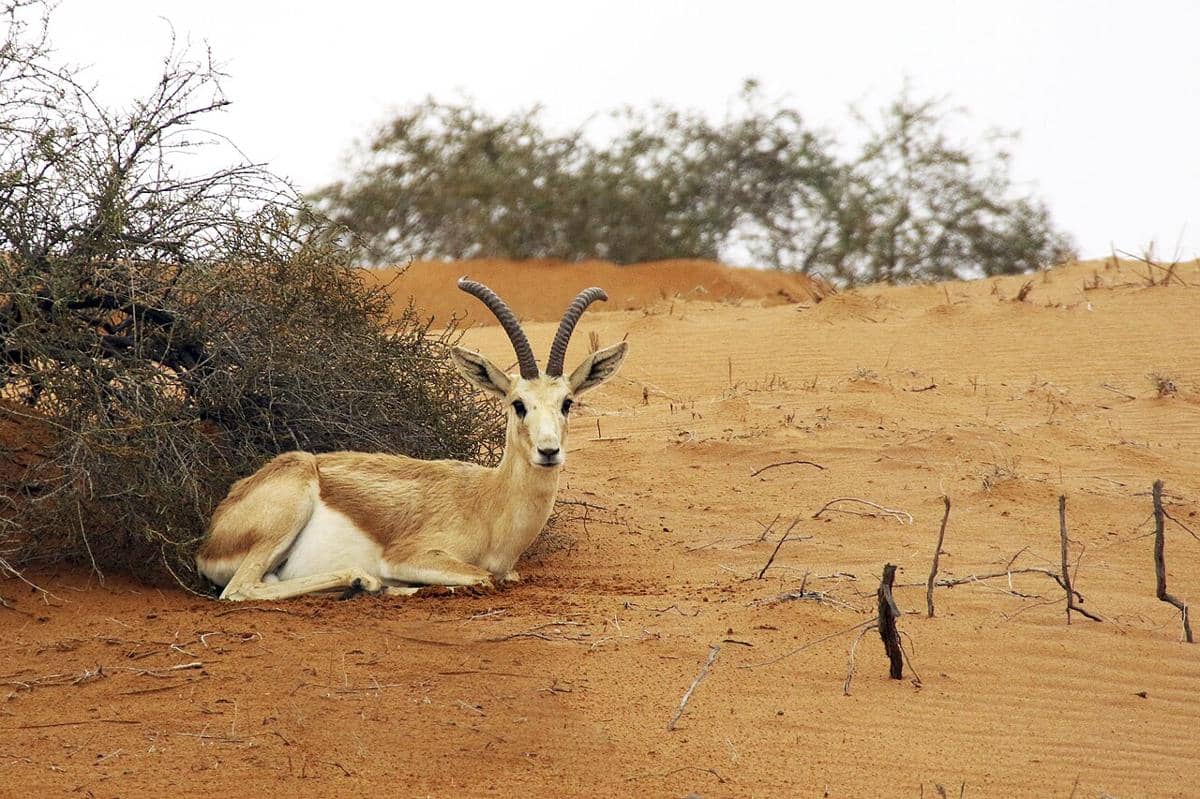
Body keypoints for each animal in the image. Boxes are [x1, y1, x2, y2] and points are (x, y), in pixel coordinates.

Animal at [195, 279, 627, 601]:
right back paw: (364, 582)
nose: (548, 451)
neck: (488, 502)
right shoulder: (410, 556)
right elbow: (481, 576)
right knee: (240, 590)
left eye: (567, 402)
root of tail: (211, 537)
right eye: (518, 404)